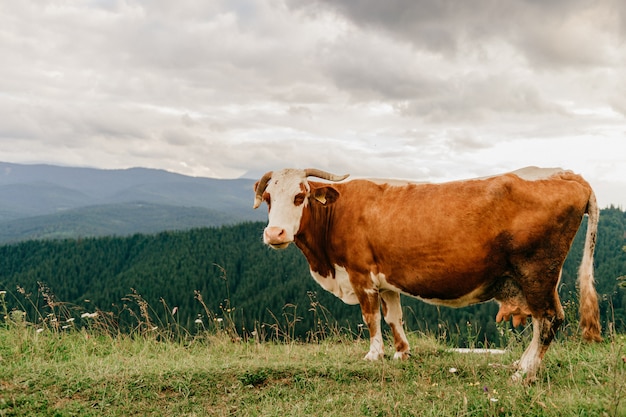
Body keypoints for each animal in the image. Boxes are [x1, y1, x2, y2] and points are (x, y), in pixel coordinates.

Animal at [252, 166, 600, 380]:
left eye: (299, 196)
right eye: (268, 198)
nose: (274, 233)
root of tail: (569, 174)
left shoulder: (360, 274)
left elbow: (370, 317)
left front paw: (374, 355)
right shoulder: (385, 278)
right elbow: (394, 316)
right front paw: (401, 353)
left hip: (537, 272)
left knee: (549, 319)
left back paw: (523, 374)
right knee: (542, 322)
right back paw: (521, 364)